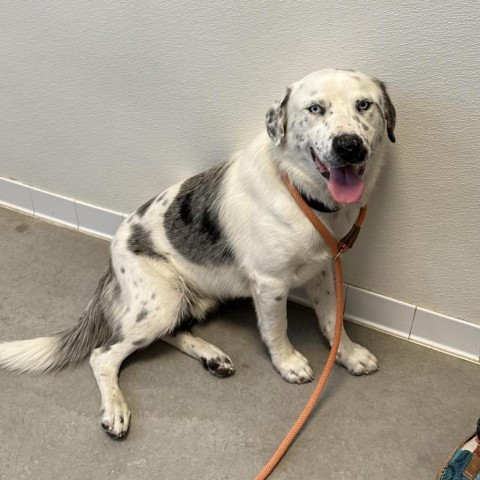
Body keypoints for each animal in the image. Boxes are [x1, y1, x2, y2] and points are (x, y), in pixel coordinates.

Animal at [0, 68, 394, 438]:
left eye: (364, 105)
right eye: (315, 109)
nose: (349, 146)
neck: (303, 194)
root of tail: (111, 261)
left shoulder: (326, 268)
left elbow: (332, 320)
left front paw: (348, 354)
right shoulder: (269, 284)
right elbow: (277, 329)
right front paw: (289, 363)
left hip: (194, 299)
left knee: (172, 332)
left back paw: (213, 357)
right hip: (162, 300)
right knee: (104, 356)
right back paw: (115, 409)